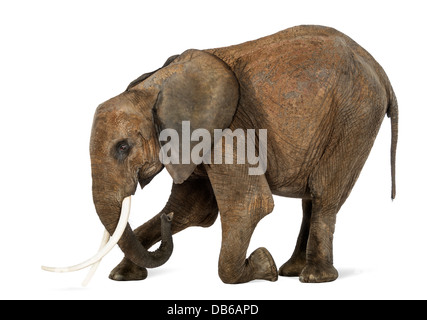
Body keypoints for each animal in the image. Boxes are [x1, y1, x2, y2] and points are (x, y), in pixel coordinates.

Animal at [48, 25, 400, 284]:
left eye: (123, 147)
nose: (164, 219)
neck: (155, 84)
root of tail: (381, 70)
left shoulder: (227, 132)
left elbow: (250, 205)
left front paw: (262, 265)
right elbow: (192, 209)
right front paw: (123, 276)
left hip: (355, 118)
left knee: (325, 193)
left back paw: (311, 277)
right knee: (311, 199)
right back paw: (292, 271)